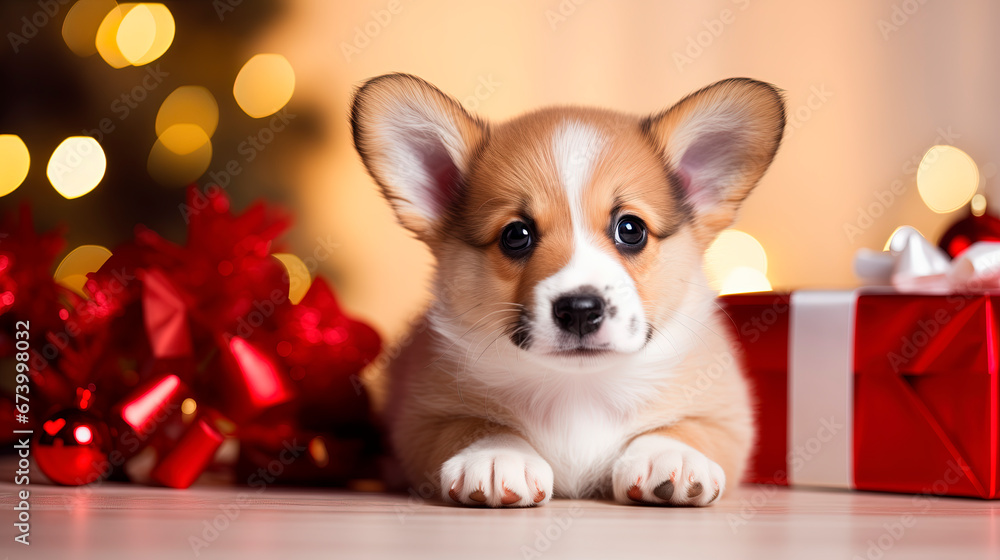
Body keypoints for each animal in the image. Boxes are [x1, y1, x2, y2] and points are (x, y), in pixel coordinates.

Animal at [348, 74, 784, 508]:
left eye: (631, 229)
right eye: (516, 235)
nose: (579, 310)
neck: (579, 387)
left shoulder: (728, 417)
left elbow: (686, 427)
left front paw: (671, 455)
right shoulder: (422, 419)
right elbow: (473, 425)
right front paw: (496, 456)